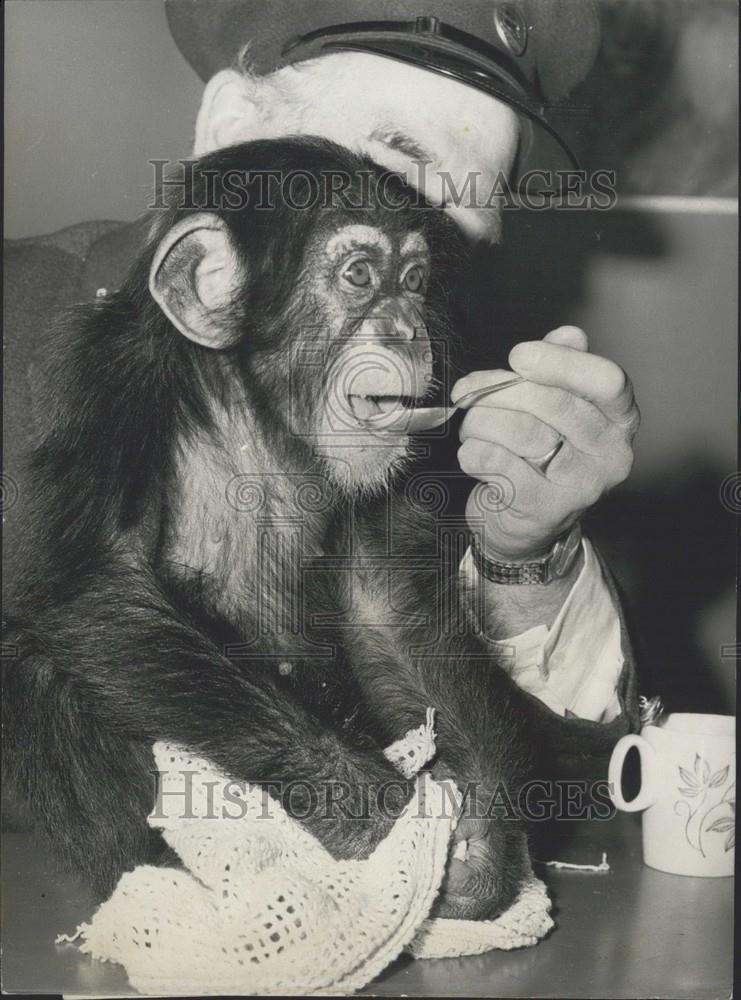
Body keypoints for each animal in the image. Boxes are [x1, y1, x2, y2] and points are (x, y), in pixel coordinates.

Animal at [2, 137, 536, 916]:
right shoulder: (103, 380)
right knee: (42, 668)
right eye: (358, 276)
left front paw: (479, 841)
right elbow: (98, 583)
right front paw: (383, 822)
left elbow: (384, 602)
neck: (247, 399)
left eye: (413, 280)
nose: (407, 328)